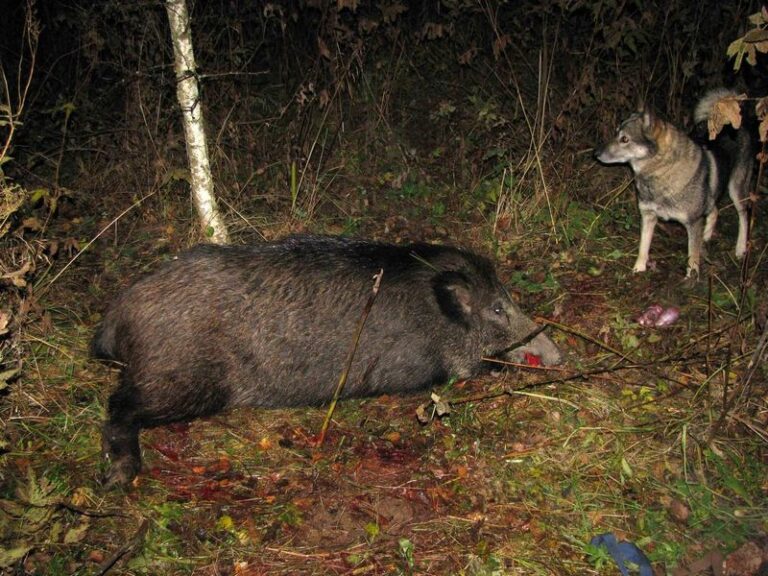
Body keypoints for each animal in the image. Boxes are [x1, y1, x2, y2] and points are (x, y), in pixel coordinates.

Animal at [592, 88, 756, 280]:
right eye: (615, 133)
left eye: (625, 139)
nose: (596, 153)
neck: (661, 172)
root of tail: (731, 123)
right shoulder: (648, 216)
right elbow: (643, 247)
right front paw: (638, 268)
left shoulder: (693, 222)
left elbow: (692, 255)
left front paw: (691, 278)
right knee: (715, 210)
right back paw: (706, 236)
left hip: (736, 189)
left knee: (744, 215)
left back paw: (740, 248)